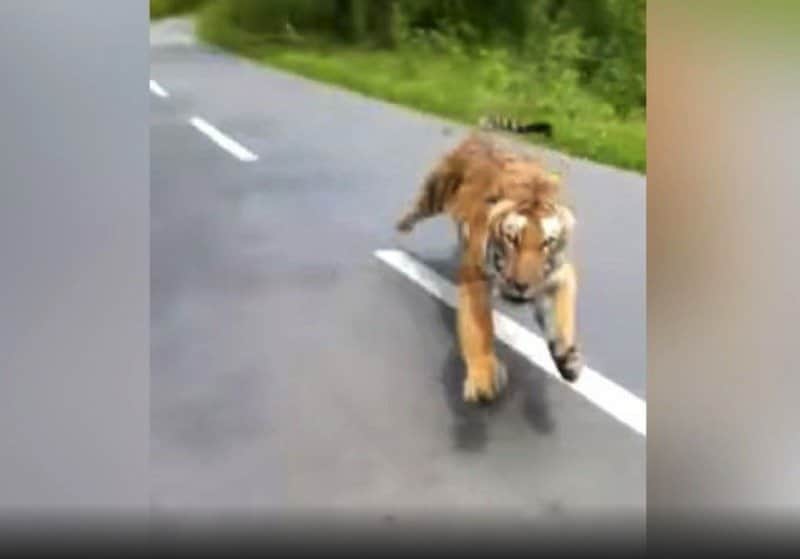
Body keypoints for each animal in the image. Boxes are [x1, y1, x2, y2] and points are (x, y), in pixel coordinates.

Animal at [396, 122, 582, 403]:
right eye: (512, 239)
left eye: (546, 243)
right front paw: (484, 379)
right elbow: (480, 328)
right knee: (418, 208)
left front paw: (567, 360)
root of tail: (484, 135)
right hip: (436, 191)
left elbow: (561, 318)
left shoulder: (558, 275)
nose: (521, 285)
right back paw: (401, 226)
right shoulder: (475, 276)